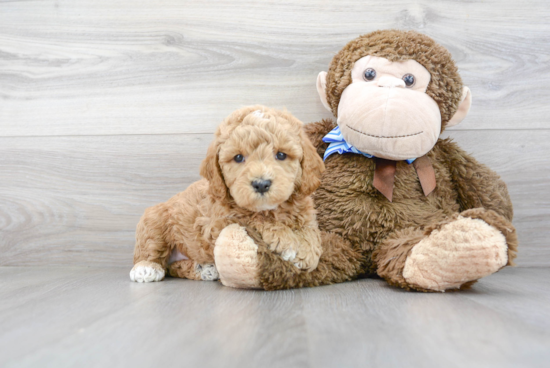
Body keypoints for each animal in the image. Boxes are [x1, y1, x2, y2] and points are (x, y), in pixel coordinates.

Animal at [129, 105, 328, 284]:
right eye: (238, 158)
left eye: (281, 155)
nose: (261, 184)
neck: (272, 209)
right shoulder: (220, 222)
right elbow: (257, 219)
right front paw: (290, 244)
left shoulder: (306, 212)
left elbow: (311, 231)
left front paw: (308, 252)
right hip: (155, 220)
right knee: (151, 249)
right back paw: (146, 268)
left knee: (173, 268)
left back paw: (205, 269)